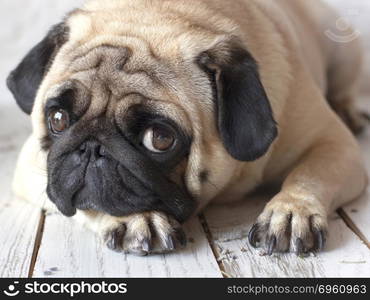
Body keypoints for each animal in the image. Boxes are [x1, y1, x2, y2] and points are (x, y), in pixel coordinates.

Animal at [6, 0, 368, 255]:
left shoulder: (334, 145)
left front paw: (292, 212)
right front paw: (135, 218)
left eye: (160, 139)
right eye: (57, 119)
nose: (92, 148)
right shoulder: (32, 166)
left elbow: (309, 174)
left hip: (343, 51)